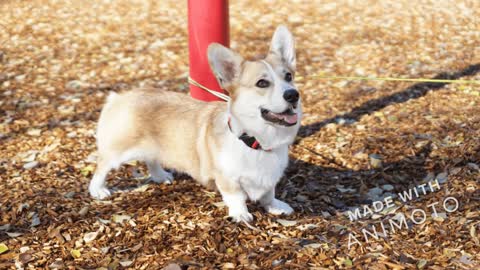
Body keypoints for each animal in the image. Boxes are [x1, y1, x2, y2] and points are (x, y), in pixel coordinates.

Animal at [88, 26, 302, 223]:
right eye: (262, 83)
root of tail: (118, 97)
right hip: (118, 151)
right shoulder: (227, 179)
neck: (256, 142)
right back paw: (98, 190)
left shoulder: (269, 180)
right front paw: (240, 214)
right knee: (102, 166)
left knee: (151, 158)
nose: (293, 95)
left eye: (288, 77)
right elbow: (236, 197)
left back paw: (160, 175)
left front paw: (275, 206)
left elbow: (268, 194)